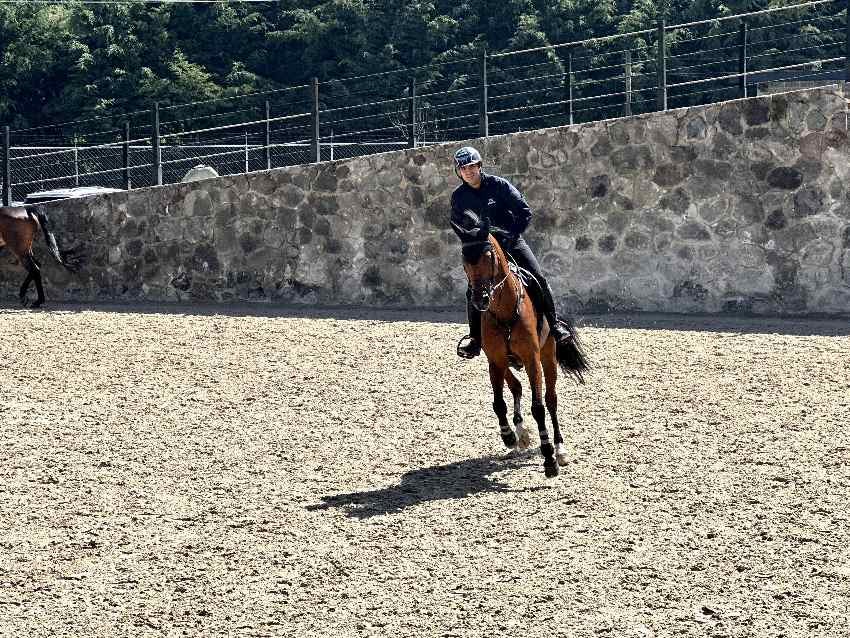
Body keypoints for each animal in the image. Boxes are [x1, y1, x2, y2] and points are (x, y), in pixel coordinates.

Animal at [450, 218, 588, 478]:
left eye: (488, 256)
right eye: (464, 258)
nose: (480, 300)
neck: (504, 310)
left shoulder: (533, 359)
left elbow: (539, 407)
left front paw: (549, 459)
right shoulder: (495, 361)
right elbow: (498, 403)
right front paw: (509, 436)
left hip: (548, 356)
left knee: (551, 400)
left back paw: (559, 449)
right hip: (506, 363)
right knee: (516, 386)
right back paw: (520, 433)